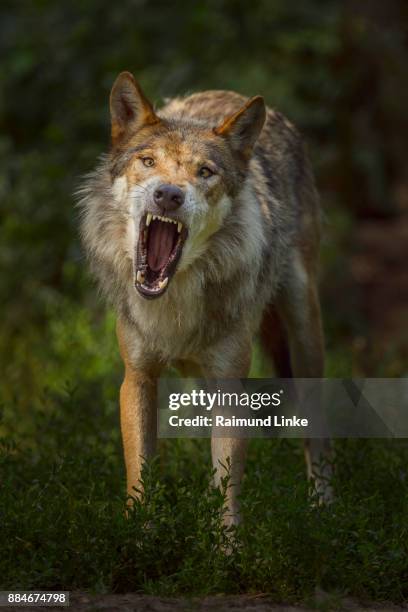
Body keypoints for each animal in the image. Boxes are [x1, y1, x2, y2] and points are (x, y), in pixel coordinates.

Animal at [79, 70, 332, 520]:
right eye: (148, 162)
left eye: (205, 172)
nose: (168, 194)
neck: (173, 302)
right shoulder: (137, 379)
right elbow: (140, 479)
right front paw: (139, 534)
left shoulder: (230, 386)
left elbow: (225, 492)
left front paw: (226, 542)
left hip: (305, 335)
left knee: (316, 432)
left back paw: (323, 506)